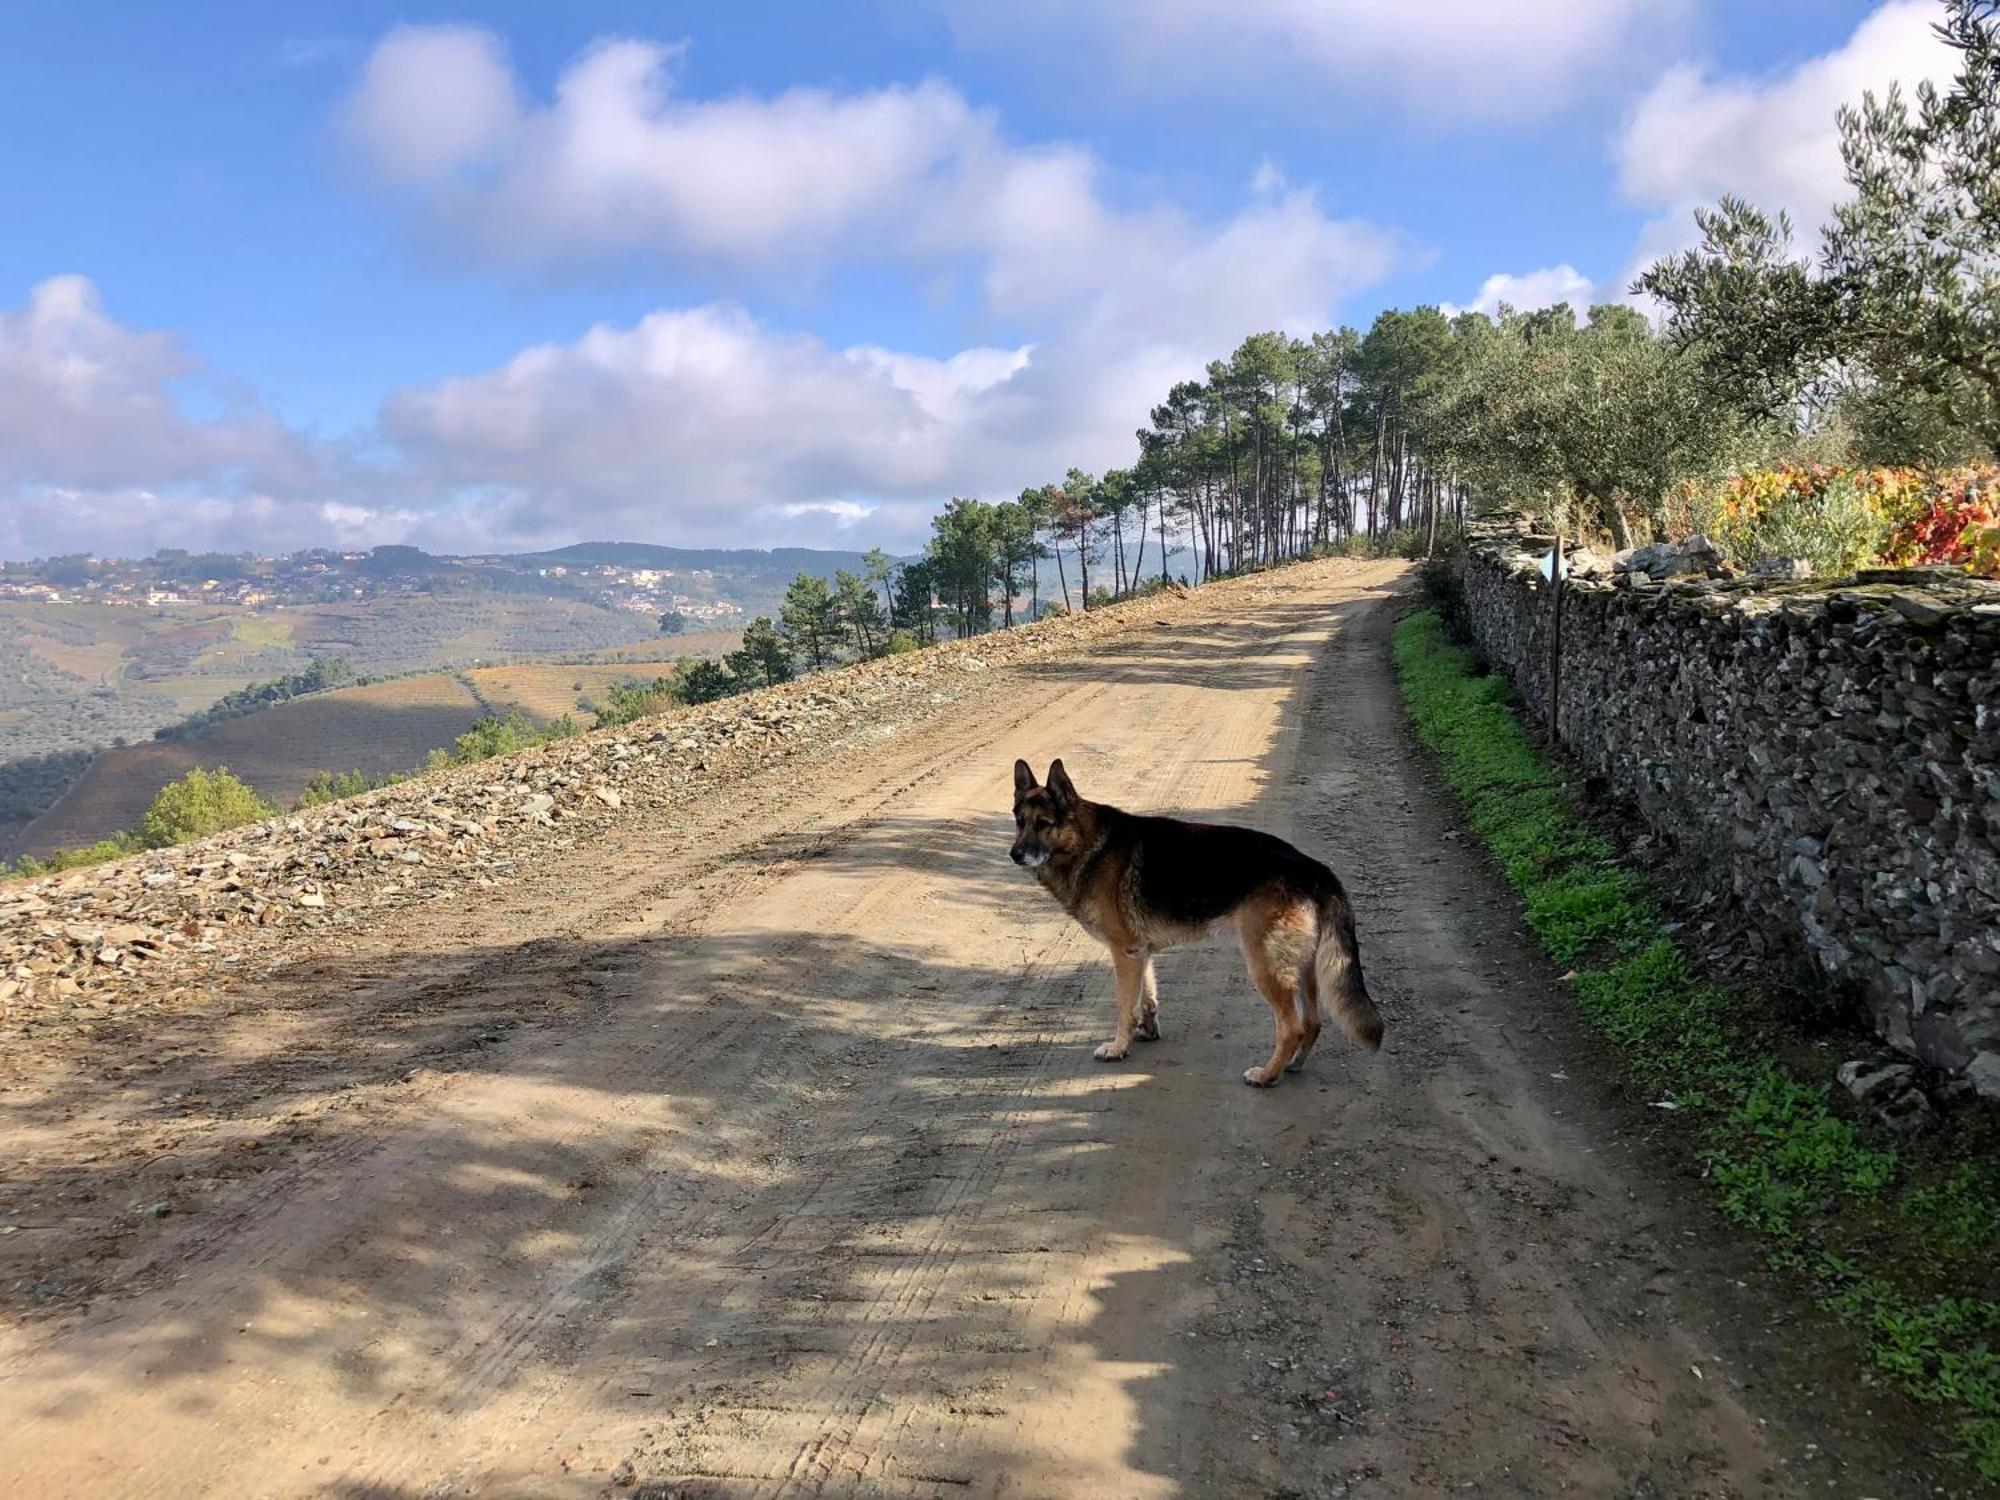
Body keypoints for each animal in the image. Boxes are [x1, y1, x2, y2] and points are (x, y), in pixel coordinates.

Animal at [1016, 764, 1376, 1096]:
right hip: (1301, 969)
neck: (1087, 843)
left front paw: (1118, 1047)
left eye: (1044, 824)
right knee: (1313, 1023)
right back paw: (1293, 1064)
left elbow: (1123, 1008)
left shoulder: (1124, 954)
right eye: (1019, 822)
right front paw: (1147, 1030)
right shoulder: (1139, 953)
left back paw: (1267, 1075)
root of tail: (1314, 869)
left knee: (1292, 1028)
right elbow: (1147, 997)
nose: (1014, 854)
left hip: (1265, 967)